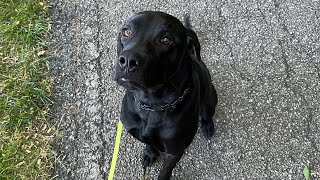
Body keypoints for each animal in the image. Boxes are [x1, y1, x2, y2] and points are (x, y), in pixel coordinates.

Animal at [113, 11, 218, 180]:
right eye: (126, 32)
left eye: (166, 40)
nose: (127, 61)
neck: (151, 105)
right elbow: (149, 143)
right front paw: (150, 153)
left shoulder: (174, 152)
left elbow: (165, 171)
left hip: (209, 101)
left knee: (207, 114)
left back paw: (208, 127)